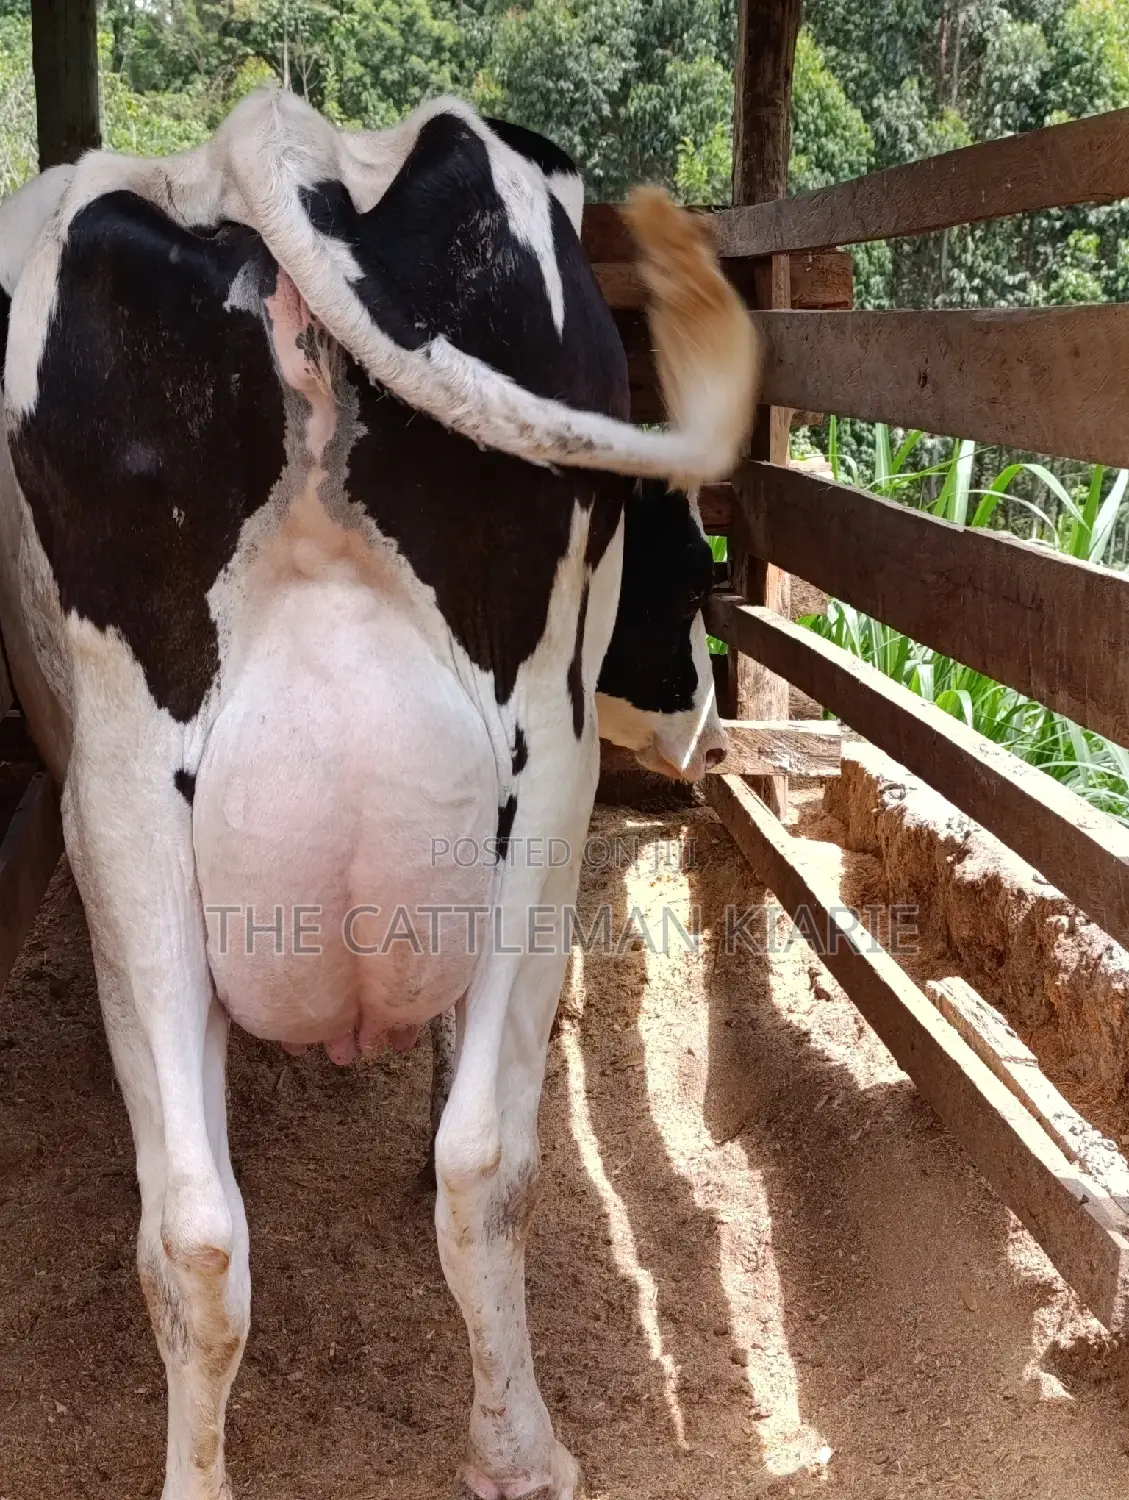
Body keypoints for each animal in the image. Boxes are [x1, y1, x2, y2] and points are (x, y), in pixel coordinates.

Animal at [0, 87, 757, 1500]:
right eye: (691, 578)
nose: (707, 732)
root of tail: (276, 139)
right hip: (544, 765)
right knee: (469, 1165)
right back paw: (521, 1449)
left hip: (130, 809)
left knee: (201, 1227)